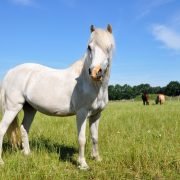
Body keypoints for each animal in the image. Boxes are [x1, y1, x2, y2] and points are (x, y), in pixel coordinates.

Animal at [0, 24, 114, 169]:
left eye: (109, 47)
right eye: (89, 47)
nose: (95, 72)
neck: (89, 83)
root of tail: (10, 72)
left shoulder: (96, 115)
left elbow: (95, 137)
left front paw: (97, 158)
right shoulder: (82, 114)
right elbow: (82, 139)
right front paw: (83, 164)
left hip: (30, 109)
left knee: (24, 128)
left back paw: (27, 154)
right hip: (13, 108)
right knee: (2, 130)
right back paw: (1, 162)